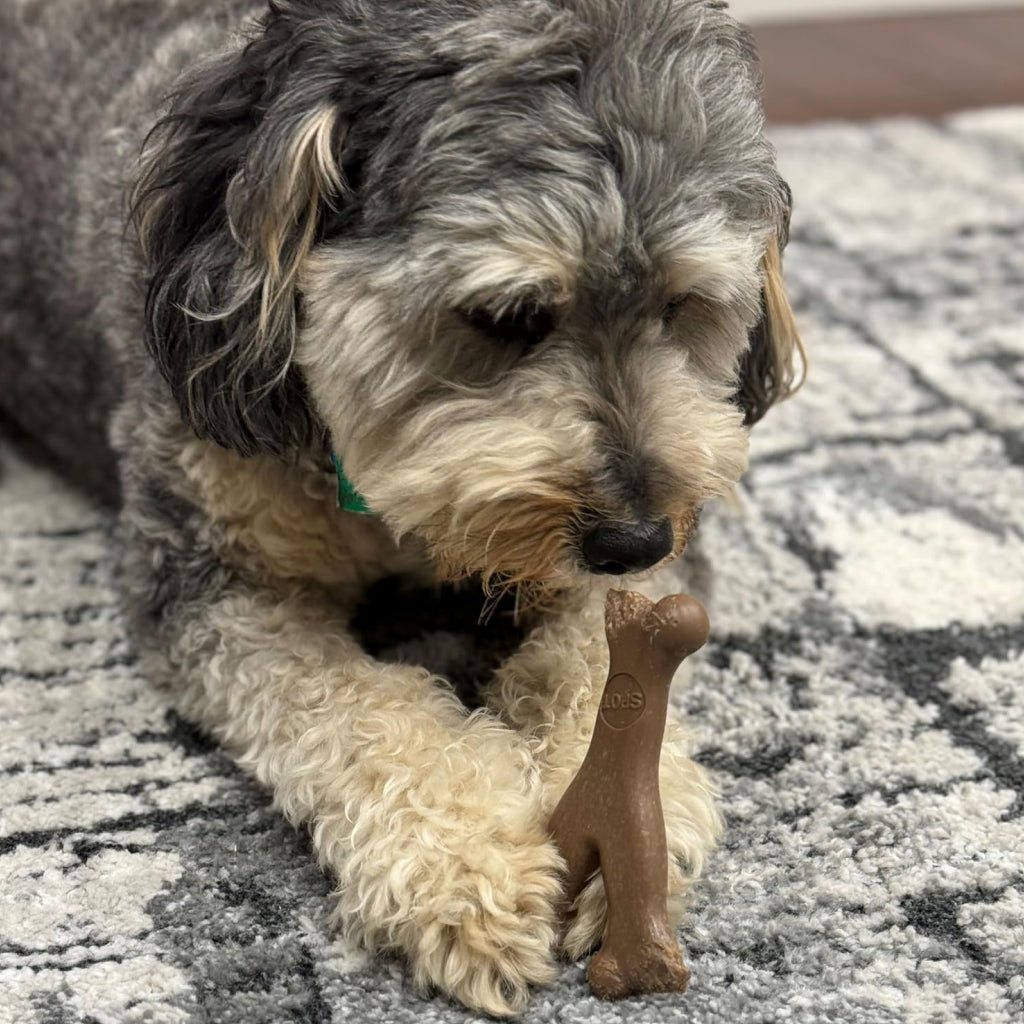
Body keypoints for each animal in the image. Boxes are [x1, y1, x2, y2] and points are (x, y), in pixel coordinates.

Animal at [0, 0, 800, 1014]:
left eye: (685, 304)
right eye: (507, 316)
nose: (633, 537)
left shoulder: (635, 576)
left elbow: (595, 668)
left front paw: (638, 818)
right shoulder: (213, 577)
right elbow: (356, 708)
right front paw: (468, 868)